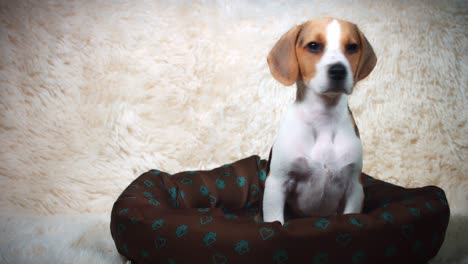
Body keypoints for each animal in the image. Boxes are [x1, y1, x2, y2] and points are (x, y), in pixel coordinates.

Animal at [264, 17, 376, 225]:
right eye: (314, 46)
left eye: (352, 47)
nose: (338, 70)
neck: (324, 117)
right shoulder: (277, 183)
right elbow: (275, 221)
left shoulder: (354, 187)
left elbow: (351, 215)